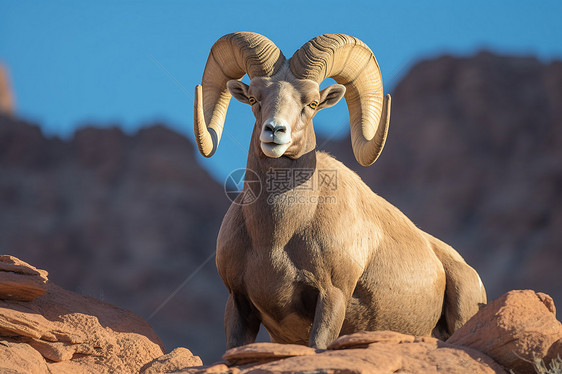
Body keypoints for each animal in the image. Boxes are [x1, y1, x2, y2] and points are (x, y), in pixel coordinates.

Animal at [194, 32, 486, 350]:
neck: (273, 238)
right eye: (253, 99)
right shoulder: (238, 303)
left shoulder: (332, 297)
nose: (274, 132)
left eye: (311, 103)